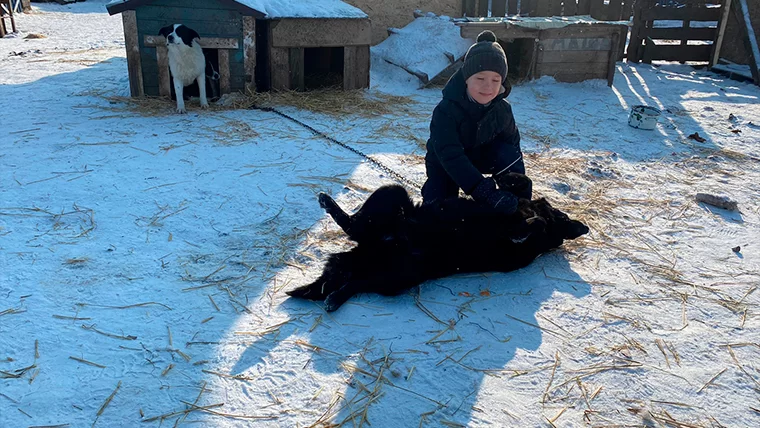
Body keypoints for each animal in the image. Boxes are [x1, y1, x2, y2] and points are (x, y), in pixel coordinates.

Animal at [284, 173, 588, 310]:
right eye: (562, 213)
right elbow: (521, 185)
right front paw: (508, 180)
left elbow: (532, 225)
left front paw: (526, 226)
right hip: (393, 195)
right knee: (353, 230)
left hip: (397, 277)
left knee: (356, 276)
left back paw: (335, 297)